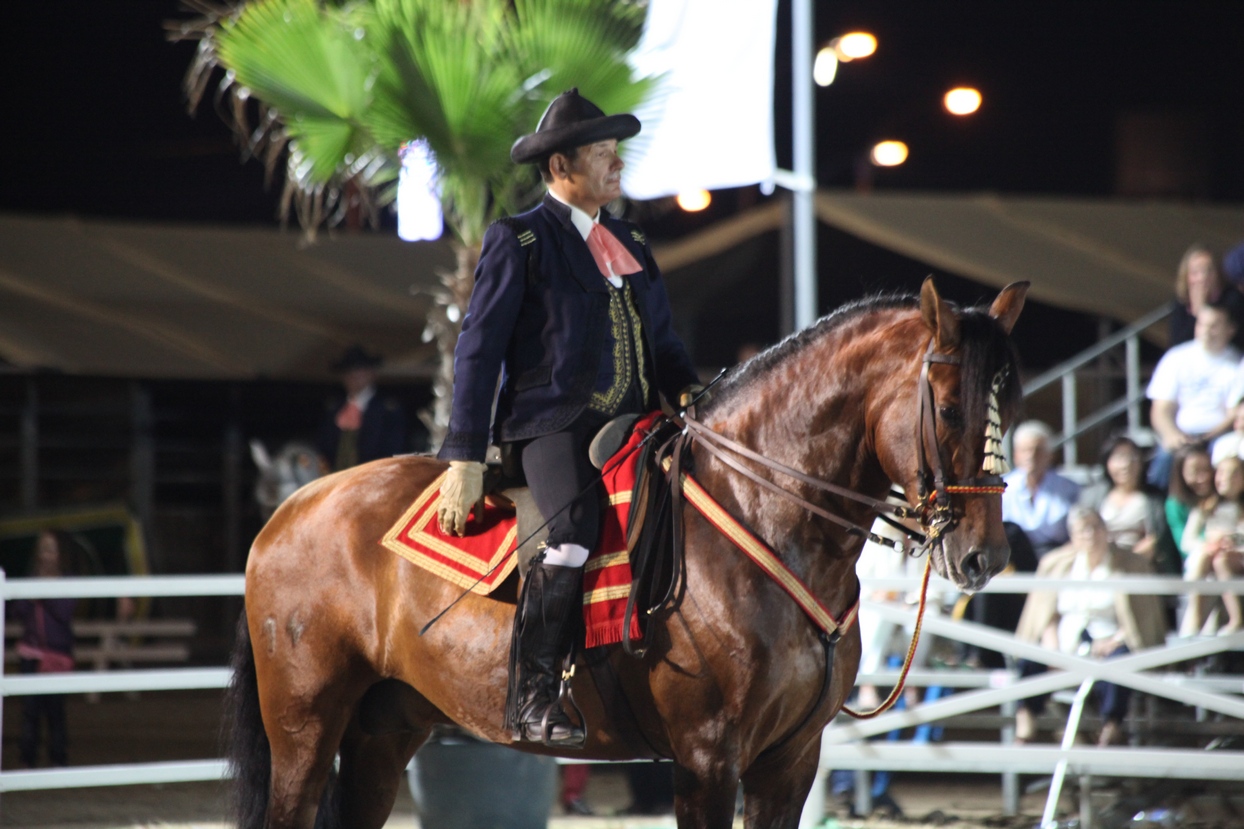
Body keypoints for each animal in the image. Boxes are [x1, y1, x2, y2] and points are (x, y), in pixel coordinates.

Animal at [231, 278, 1030, 826]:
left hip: (383, 728)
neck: (765, 513)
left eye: (1009, 403)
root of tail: (293, 507)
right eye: (947, 406)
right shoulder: (707, 759)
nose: (985, 557)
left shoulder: (789, 762)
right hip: (304, 725)